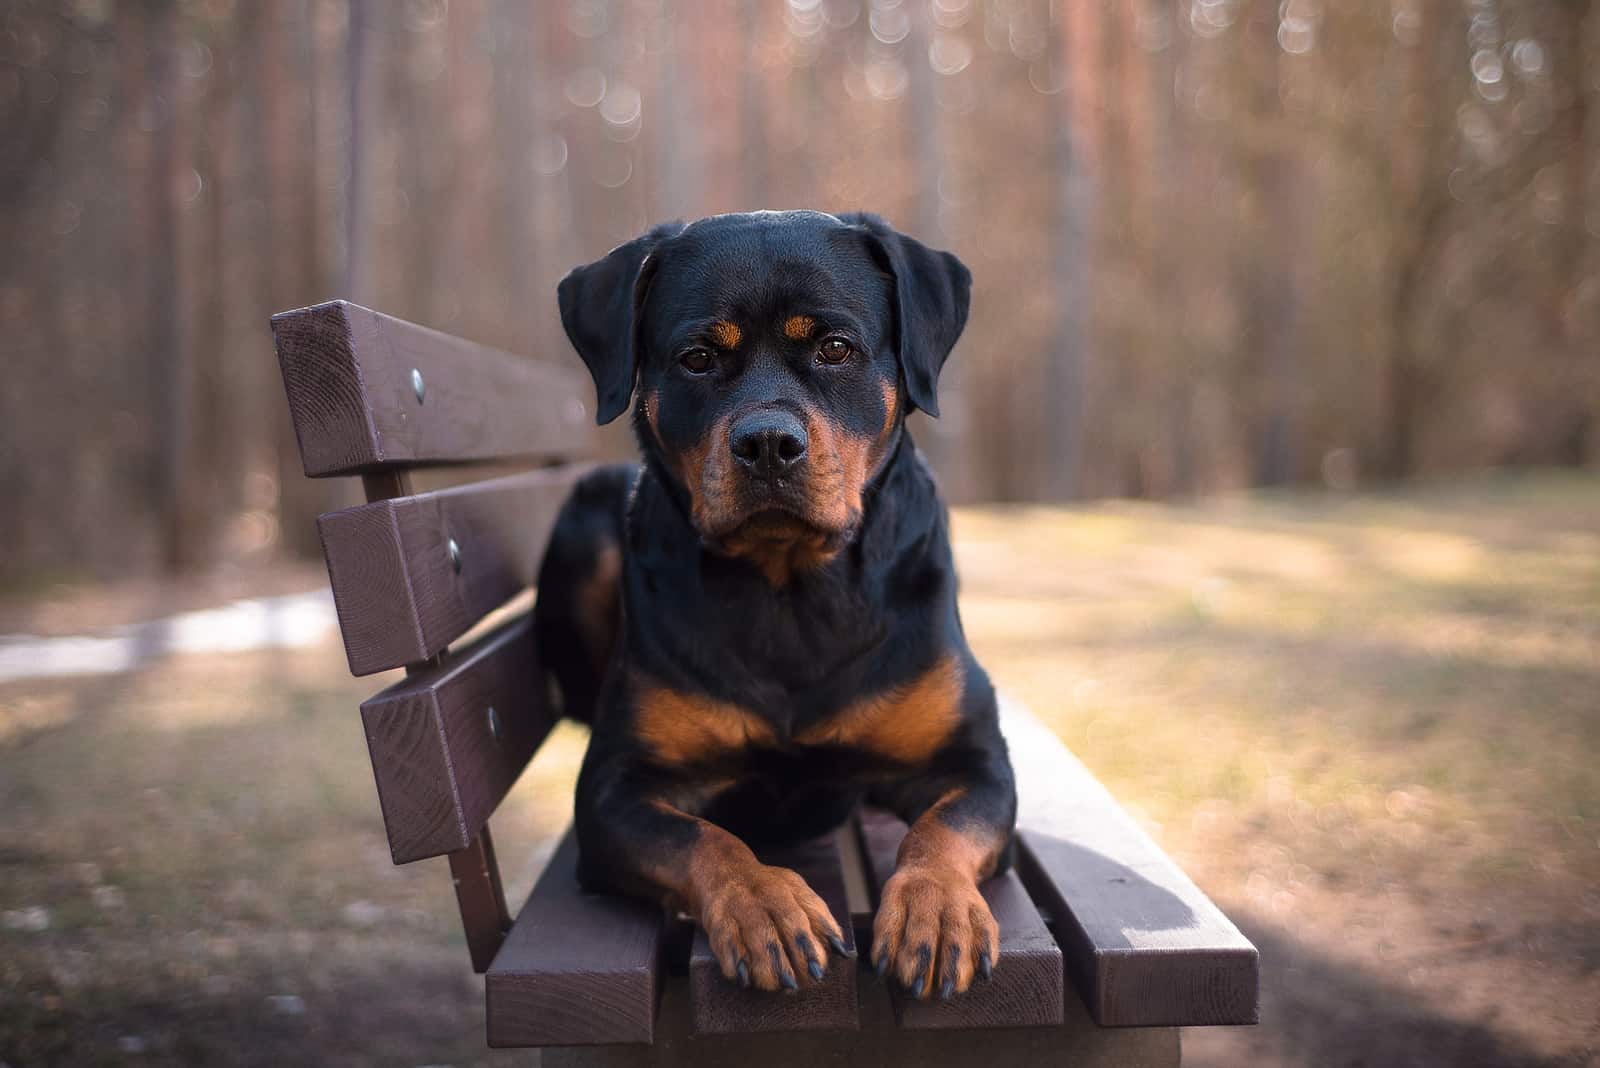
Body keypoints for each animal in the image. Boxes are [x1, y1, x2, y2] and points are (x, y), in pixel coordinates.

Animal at [534, 211, 1011, 1004]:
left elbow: (943, 829)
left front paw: (936, 909)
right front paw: (764, 904)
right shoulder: (613, 789)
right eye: (697, 358)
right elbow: (702, 837)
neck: (789, 590)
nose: (766, 442)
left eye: (835, 348)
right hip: (588, 515)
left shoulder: (975, 761)